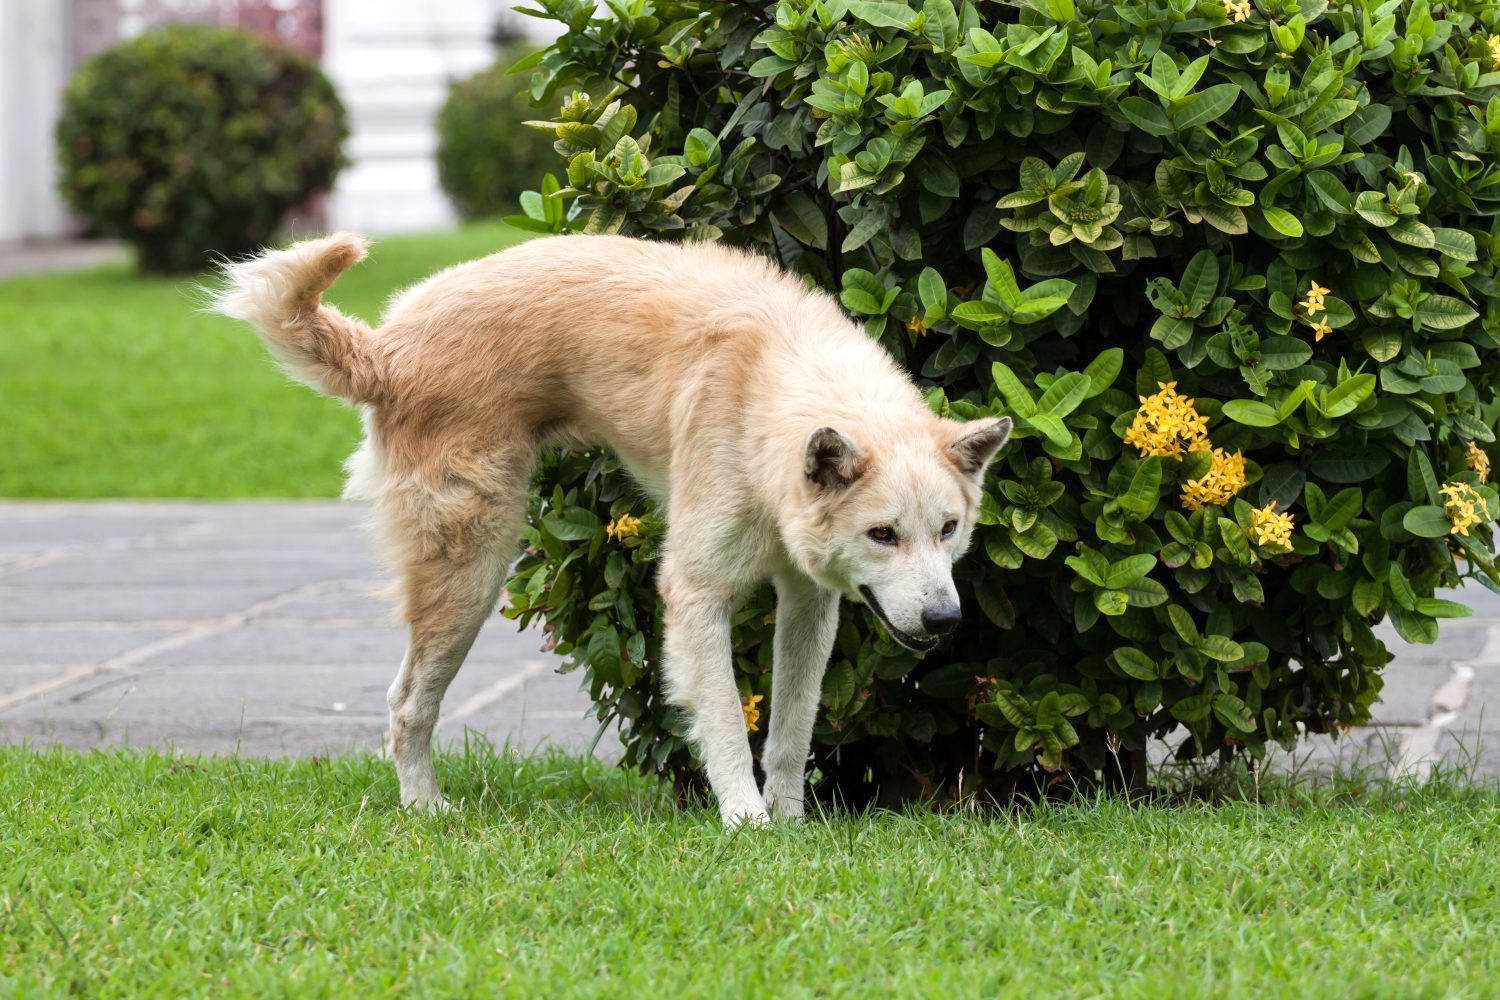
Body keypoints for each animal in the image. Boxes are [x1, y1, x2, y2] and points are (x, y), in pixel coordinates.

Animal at [208, 235, 1008, 827]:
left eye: (948, 530)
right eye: (883, 535)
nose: (946, 621)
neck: (773, 385)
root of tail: (388, 347)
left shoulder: (811, 603)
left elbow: (791, 727)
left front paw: (788, 821)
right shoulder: (696, 594)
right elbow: (725, 721)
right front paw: (746, 824)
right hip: (470, 572)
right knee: (407, 704)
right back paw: (426, 808)